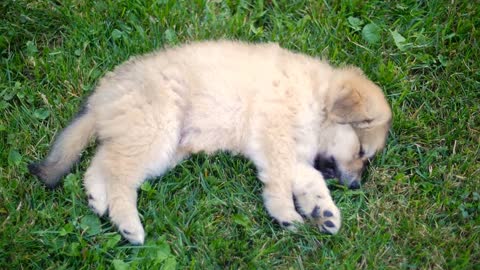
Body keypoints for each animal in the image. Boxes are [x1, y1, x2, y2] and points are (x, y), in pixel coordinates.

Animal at [29, 40, 390, 245]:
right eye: (361, 151)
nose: (355, 185)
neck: (316, 96)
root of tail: (101, 99)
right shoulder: (276, 140)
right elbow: (281, 182)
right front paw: (286, 214)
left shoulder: (294, 154)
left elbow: (311, 179)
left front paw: (323, 211)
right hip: (158, 130)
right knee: (119, 177)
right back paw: (128, 223)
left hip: (156, 144)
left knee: (104, 162)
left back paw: (96, 199)